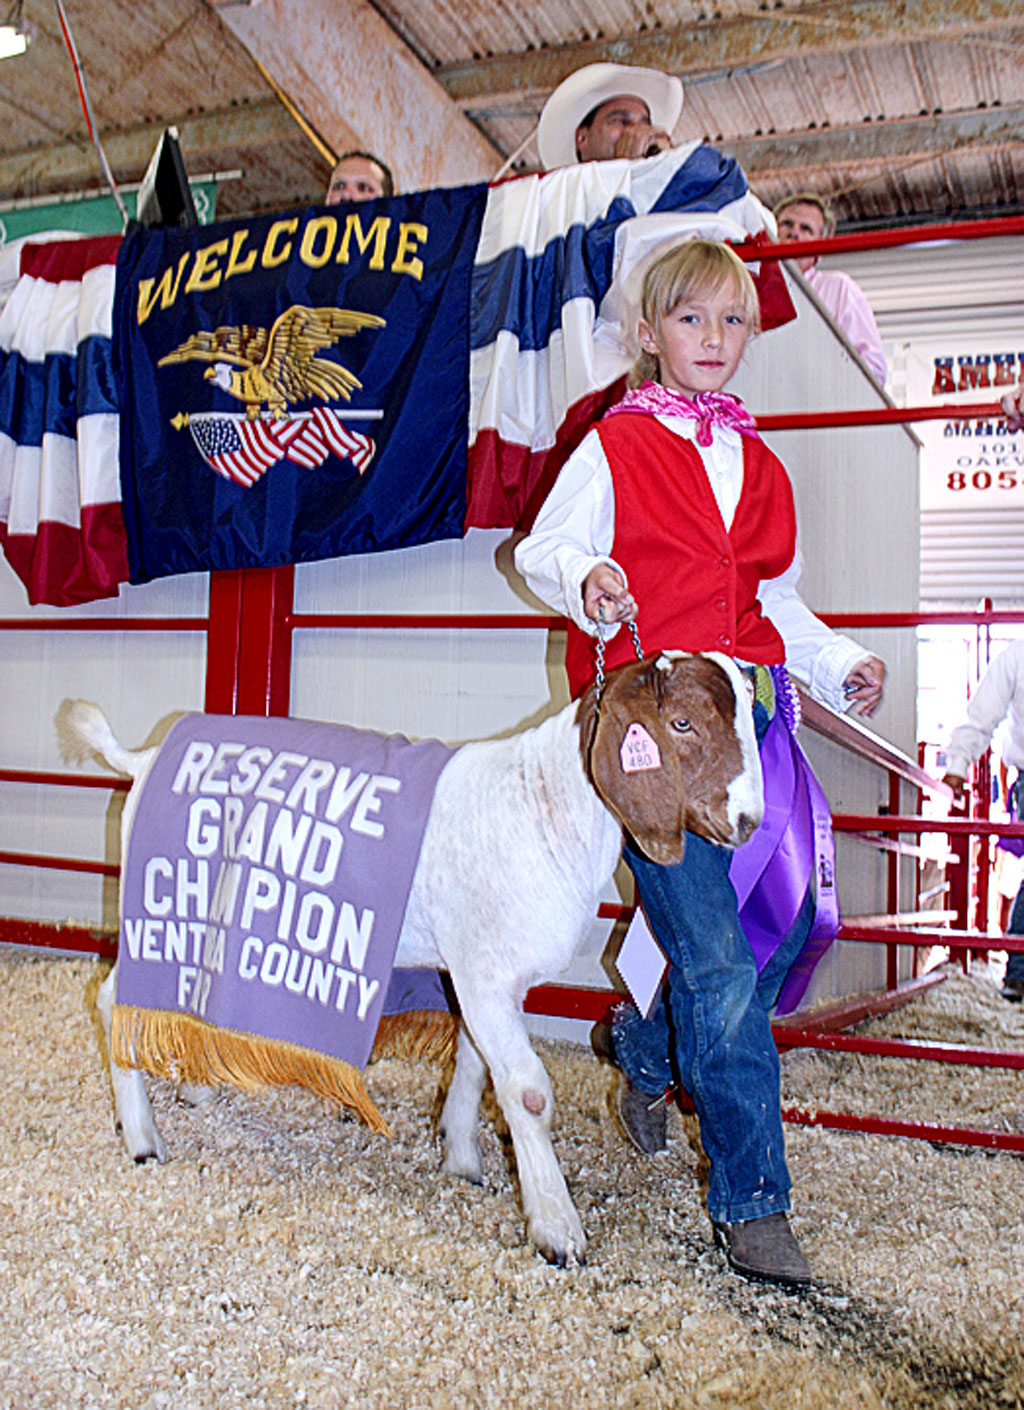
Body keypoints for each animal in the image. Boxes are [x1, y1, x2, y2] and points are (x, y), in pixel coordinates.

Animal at [56, 648, 761, 1269]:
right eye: (682, 723)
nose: (750, 822)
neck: (544, 806)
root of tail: (145, 756)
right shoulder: (486, 975)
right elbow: (528, 1092)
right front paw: (558, 1230)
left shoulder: (481, 975)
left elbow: (473, 1064)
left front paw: (461, 1160)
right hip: (164, 898)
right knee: (108, 998)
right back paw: (142, 1140)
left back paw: (197, 1088)